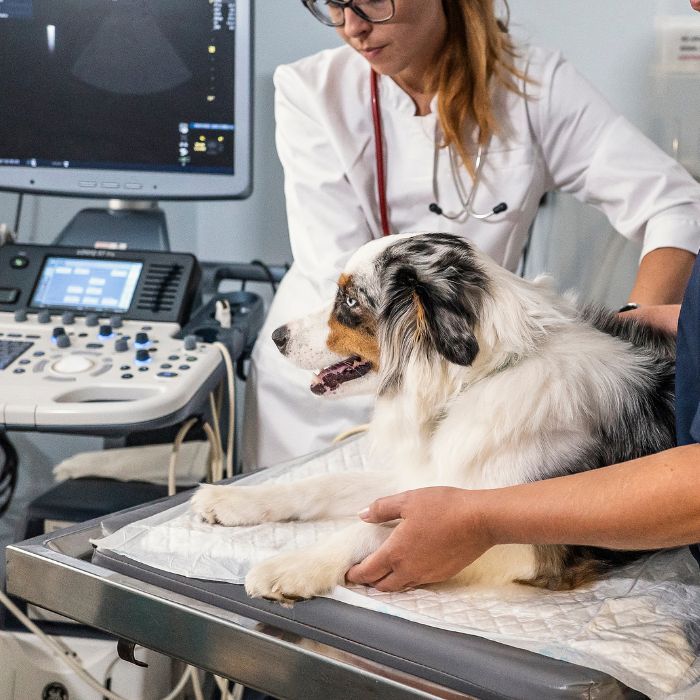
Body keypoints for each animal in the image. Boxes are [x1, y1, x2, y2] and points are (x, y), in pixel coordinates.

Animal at [189, 231, 676, 600]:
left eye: (350, 301)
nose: (276, 336)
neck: (474, 381)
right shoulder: (424, 478)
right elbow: (322, 483)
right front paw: (232, 500)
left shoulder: (530, 545)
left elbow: (381, 533)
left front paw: (293, 565)